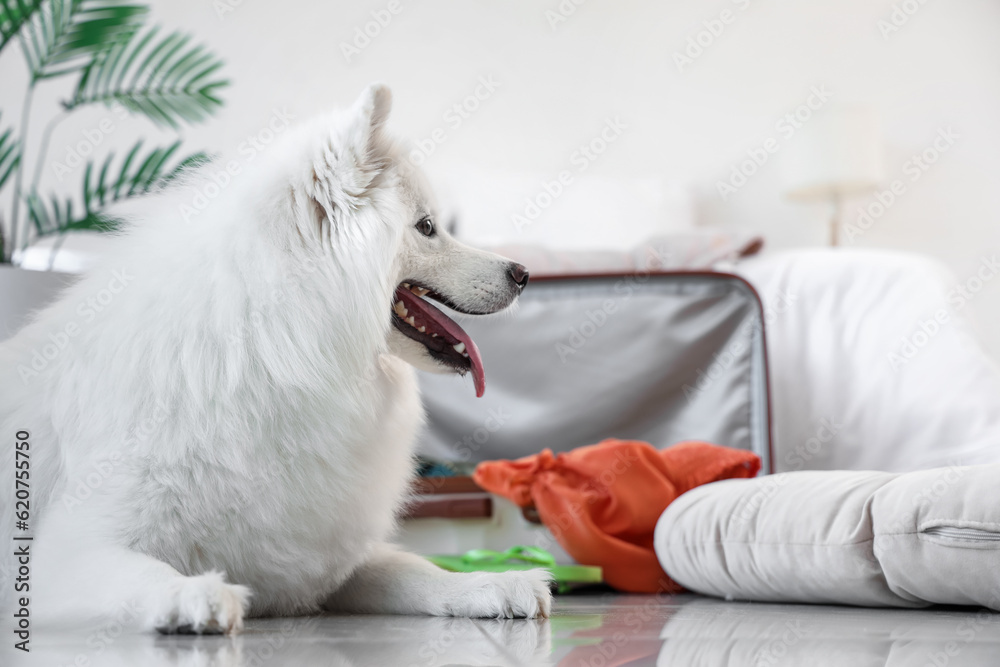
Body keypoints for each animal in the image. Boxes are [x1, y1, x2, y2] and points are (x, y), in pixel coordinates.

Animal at [0, 85, 552, 636]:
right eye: (427, 227)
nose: (523, 273)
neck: (265, 350)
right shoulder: (68, 554)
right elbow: (144, 574)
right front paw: (194, 593)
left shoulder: (324, 560)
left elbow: (416, 571)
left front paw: (490, 584)